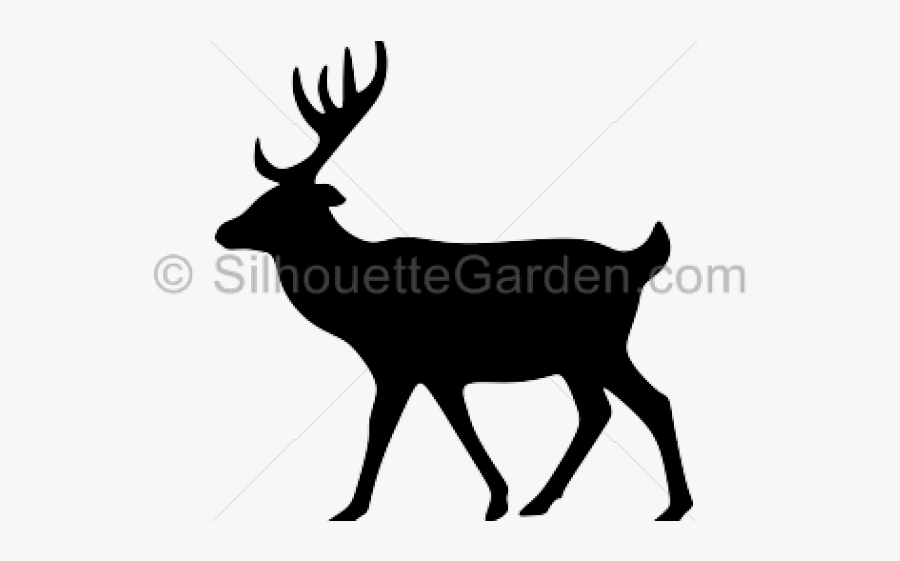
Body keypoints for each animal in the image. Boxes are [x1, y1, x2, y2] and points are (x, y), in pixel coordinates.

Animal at [216, 41, 693, 521]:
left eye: (282, 205)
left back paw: (675, 505)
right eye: (263, 197)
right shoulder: (439, 371)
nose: (224, 230)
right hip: (578, 359)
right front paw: (499, 498)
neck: (358, 307)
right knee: (598, 411)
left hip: (601, 347)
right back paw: (541, 500)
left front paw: (351, 508)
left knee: (652, 402)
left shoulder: (400, 362)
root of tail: (636, 261)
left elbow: (381, 425)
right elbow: (458, 425)